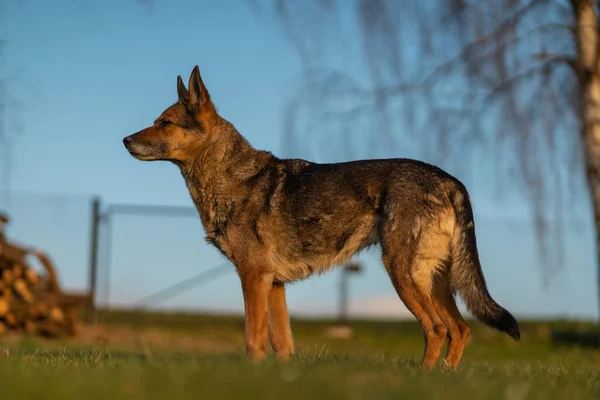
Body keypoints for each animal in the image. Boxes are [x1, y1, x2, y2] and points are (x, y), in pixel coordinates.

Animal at [123, 65, 520, 368]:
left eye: (165, 123)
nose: (125, 140)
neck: (231, 177)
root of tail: (449, 180)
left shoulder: (253, 277)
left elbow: (254, 338)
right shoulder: (274, 285)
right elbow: (281, 344)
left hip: (403, 275)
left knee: (437, 329)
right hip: (435, 281)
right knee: (460, 329)